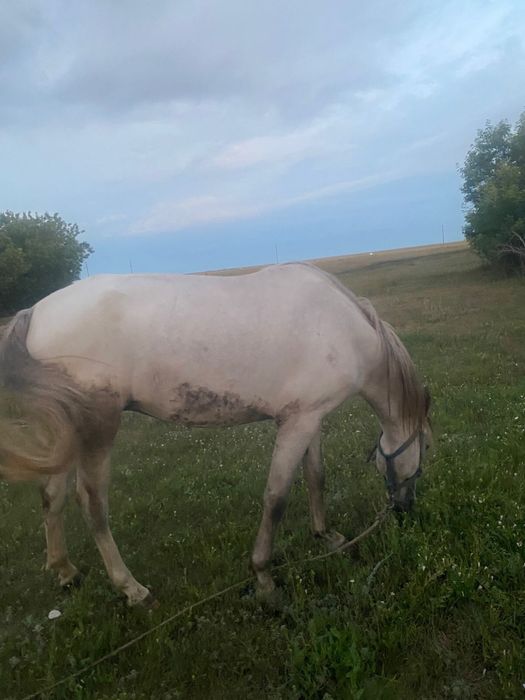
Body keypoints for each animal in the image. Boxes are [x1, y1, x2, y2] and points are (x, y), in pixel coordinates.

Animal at [0, 263, 431, 606]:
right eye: (425, 453)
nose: (405, 509)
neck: (343, 327)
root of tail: (35, 312)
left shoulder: (310, 416)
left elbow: (315, 477)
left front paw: (326, 536)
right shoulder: (296, 424)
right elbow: (276, 498)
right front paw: (263, 577)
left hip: (68, 429)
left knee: (51, 496)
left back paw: (65, 570)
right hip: (97, 429)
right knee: (91, 504)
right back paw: (131, 589)